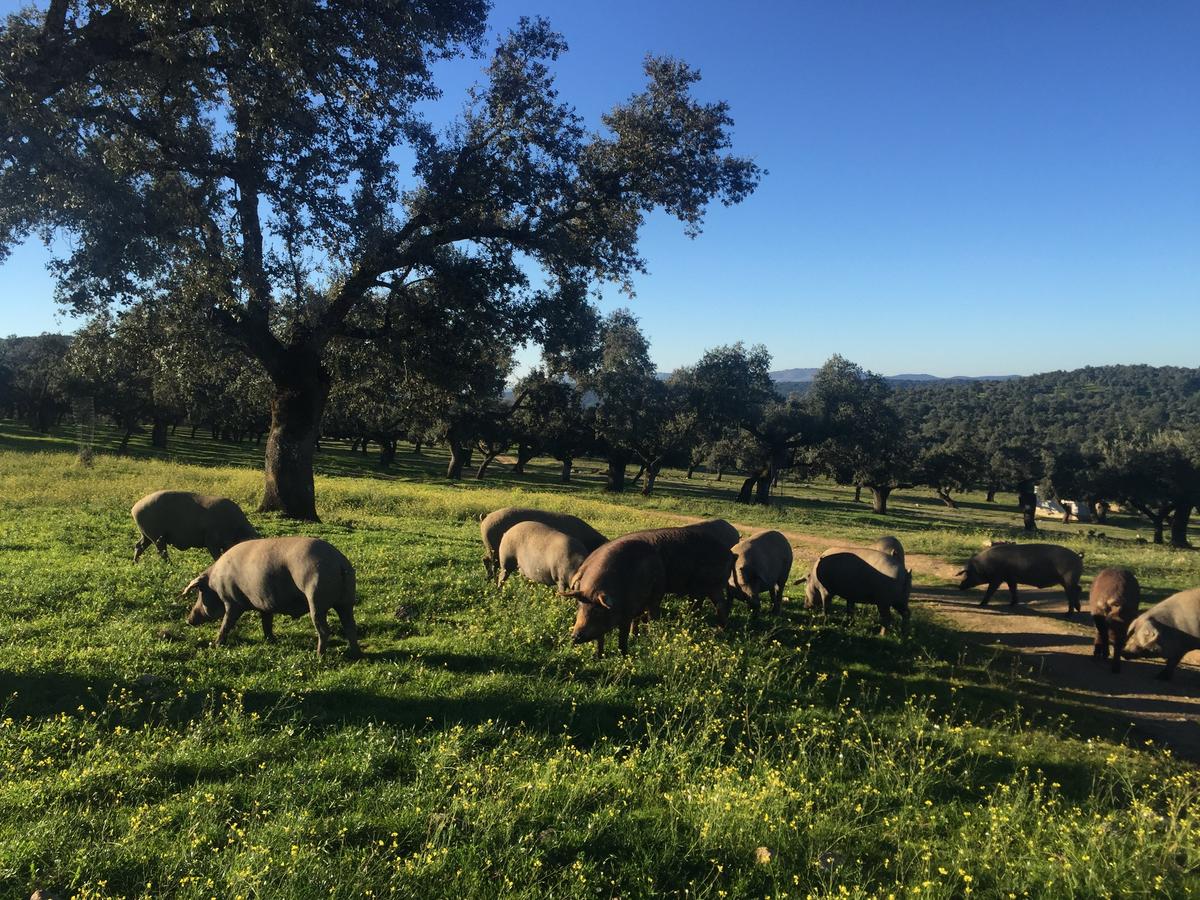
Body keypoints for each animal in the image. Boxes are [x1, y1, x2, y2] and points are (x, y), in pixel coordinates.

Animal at [182, 536, 360, 657]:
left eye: (200, 592)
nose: (188, 620)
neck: (215, 582)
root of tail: (339, 562)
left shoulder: (232, 602)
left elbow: (226, 623)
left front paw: (216, 644)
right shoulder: (264, 604)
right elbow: (266, 623)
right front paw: (271, 641)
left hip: (316, 599)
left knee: (324, 630)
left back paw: (318, 656)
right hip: (346, 601)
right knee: (350, 626)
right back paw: (355, 654)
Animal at [956, 542, 1084, 615]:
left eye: (967, 574)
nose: (959, 587)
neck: (984, 565)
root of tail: (1078, 557)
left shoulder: (997, 578)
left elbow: (990, 590)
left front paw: (981, 604)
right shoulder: (1011, 579)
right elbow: (1013, 590)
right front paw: (1012, 604)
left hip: (1068, 579)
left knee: (1072, 593)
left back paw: (1068, 614)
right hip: (1068, 581)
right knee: (1079, 588)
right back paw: (1078, 609)